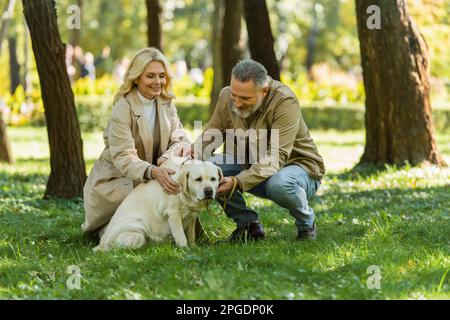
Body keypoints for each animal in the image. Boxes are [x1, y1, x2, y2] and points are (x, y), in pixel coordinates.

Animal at [94, 158, 222, 252]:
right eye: (198, 179)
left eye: (213, 179)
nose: (209, 191)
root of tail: (102, 243)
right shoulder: (173, 214)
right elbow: (181, 237)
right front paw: (185, 250)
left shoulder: (192, 216)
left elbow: (191, 236)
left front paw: (194, 248)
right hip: (139, 228)